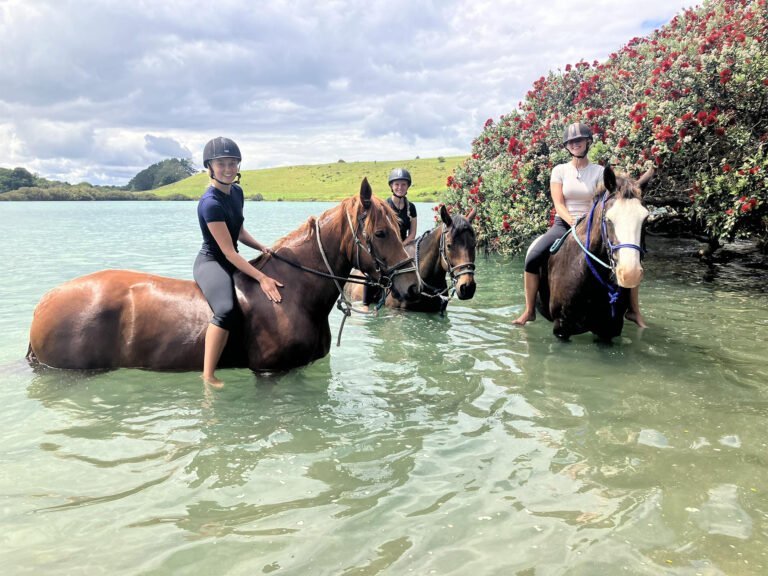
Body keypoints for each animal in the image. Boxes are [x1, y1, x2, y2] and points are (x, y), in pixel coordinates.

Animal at [27, 178, 420, 372]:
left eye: (401, 228)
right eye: (381, 233)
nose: (411, 284)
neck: (294, 293)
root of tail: (44, 302)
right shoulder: (272, 373)